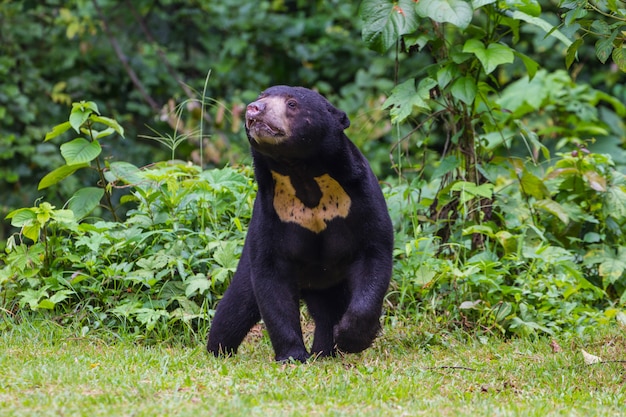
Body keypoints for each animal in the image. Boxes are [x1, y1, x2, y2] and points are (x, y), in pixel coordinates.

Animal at [207, 85, 392, 360]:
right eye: (261, 97)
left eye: (292, 104)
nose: (254, 109)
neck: (301, 173)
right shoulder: (270, 213)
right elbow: (272, 280)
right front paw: (292, 355)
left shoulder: (362, 199)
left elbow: (374, 256)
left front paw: (351, 338)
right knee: (235, 306)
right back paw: (218, 350)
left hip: (327, 283)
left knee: (327, 312)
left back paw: (325, 351)